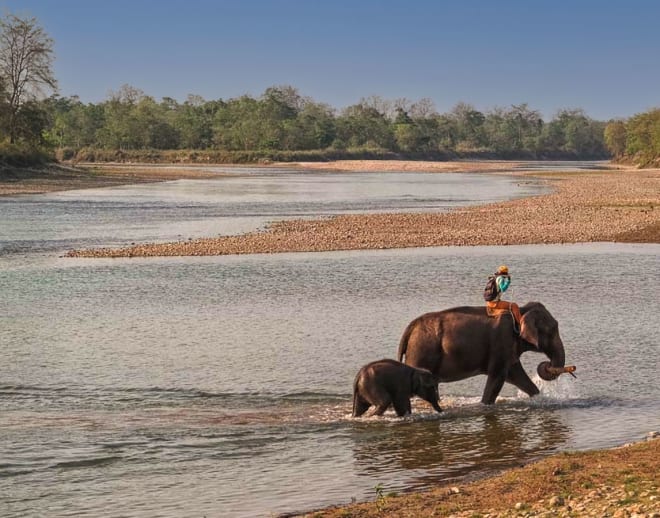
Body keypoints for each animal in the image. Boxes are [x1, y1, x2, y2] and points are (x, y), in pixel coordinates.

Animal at [398, 302, 572, 408]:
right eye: (553, 330)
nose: (547, 364)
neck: (521, 310)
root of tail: (410, 328)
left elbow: (516, 375)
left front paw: (539, 398)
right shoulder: (501, 342)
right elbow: (498, 377)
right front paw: (484, 406)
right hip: (421, 351)